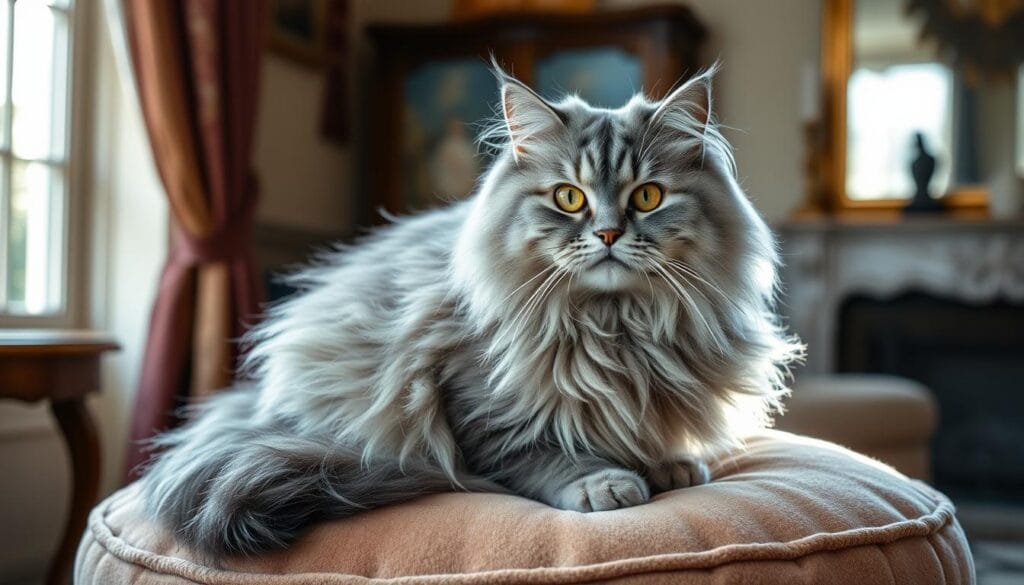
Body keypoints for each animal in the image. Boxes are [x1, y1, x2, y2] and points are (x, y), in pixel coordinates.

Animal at [140, 61, 802, 557]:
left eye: (648, 197)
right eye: (569, 198)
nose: (610, 234)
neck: (616, 325)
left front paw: (669, 462)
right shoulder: (472, 400)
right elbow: (543, 453)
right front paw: (605, 481)